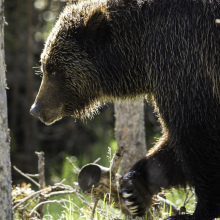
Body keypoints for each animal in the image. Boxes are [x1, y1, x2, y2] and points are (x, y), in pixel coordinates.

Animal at [30, 0, 220, 219]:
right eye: (44, 66)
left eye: (53, 69)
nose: (36, 109)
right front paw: (136, 190)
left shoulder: (184, 59)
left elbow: (196, 132)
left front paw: (198, 210)